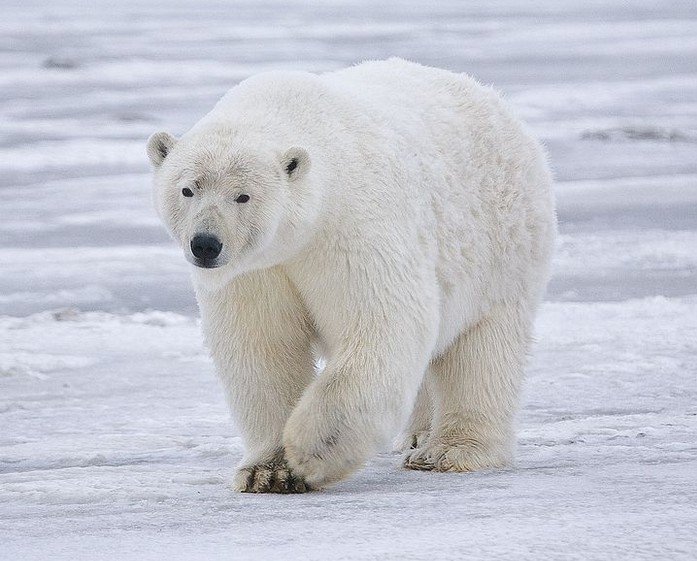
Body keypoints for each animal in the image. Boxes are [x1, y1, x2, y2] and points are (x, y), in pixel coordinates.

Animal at [145, 59, 556, 492]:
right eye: (188, 189)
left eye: (243, 196)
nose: (206, 244)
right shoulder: (256, 270)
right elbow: (263, 347)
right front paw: (267, 471)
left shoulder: (352, 227)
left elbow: (381, 324)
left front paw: (309, 451)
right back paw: (417, 434)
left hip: (502, 247)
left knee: (482, 350)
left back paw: (449, 451)